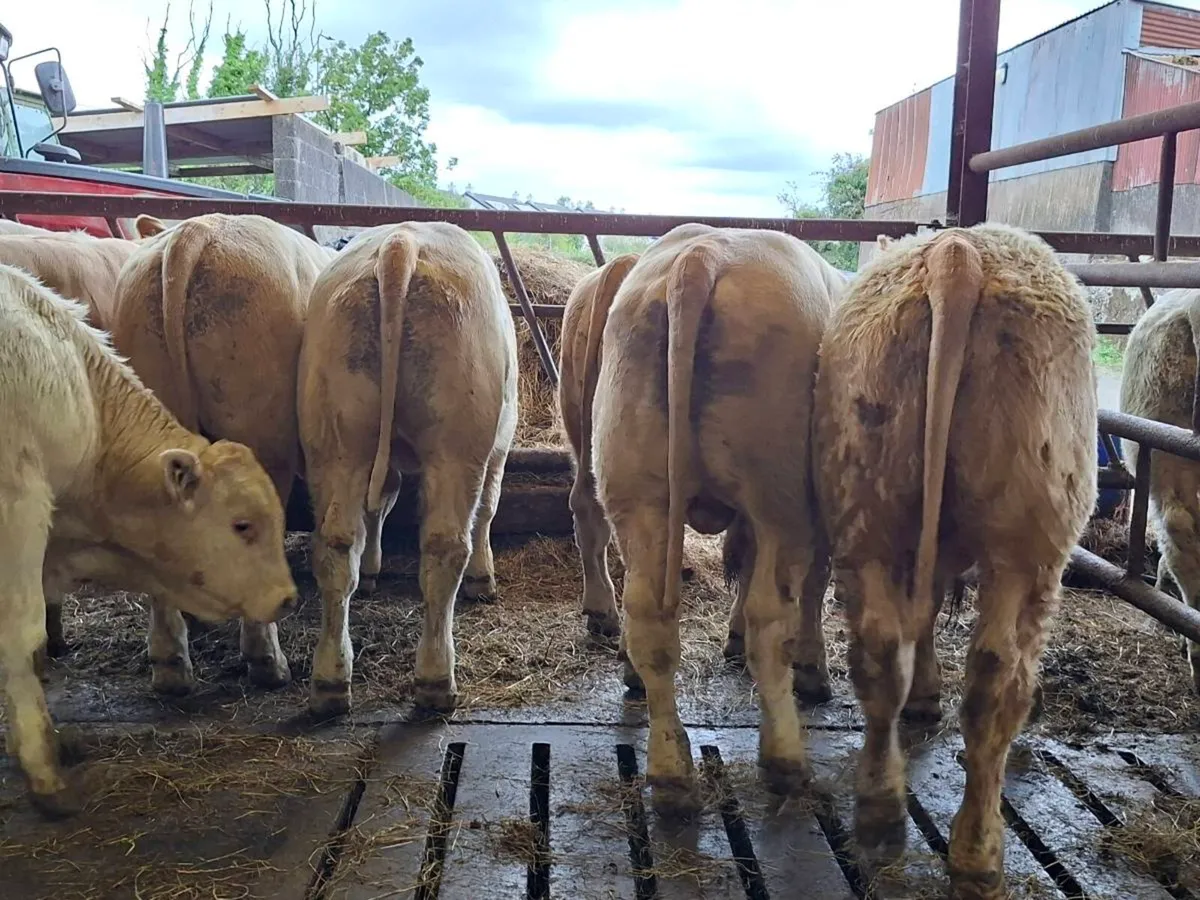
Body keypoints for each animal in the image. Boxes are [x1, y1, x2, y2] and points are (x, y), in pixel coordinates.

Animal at [297, 221, 518, 718]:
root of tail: (402, 243)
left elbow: (380, 504)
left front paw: (373, 569)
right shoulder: (498, 448)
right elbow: (488, 510)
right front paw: (484, 578)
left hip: (335, 438)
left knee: (335, 545)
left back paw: (330, 680)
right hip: (456, 446)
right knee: (444, 547)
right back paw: (436, 678)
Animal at [575, 222, 845, 812]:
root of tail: (701, 256)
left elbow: (738, 558)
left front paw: (733, 637)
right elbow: (809, 585)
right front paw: (812, 670)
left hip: (639, 492)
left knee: (647, 617)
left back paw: (671, 772)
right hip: (780, 499)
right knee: (772, 618)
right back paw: (784, 756)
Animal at [812, 224, 1096, 898]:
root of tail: (957, 255)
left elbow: (923, 614)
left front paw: (924, 694)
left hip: (867, 511)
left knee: (879, 653)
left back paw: (881, 810)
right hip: (1028, 550)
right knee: (997, 682)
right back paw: (978, 855)